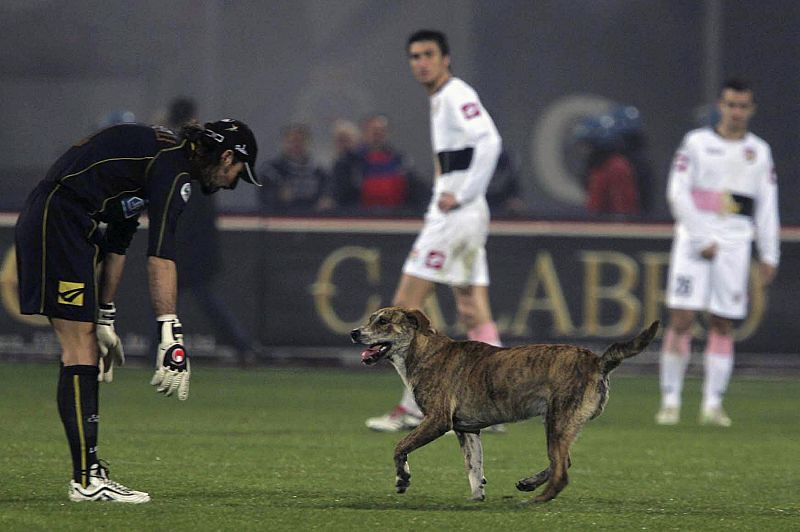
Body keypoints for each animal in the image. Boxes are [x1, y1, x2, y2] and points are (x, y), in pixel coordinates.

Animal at [350, 308, 656, 502]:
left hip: (557, 421)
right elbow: (474, 469)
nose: (354, 332)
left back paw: (534, 501)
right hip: (560, 423)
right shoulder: (467, 430)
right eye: (370, 319)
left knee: (561, 472)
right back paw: (528, 484)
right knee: (563, 462)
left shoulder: (437, 420)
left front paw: (402, 479)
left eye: (383, 321)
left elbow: (400, 447)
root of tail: (598, 361)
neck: (425, 352)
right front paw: (476, 500)